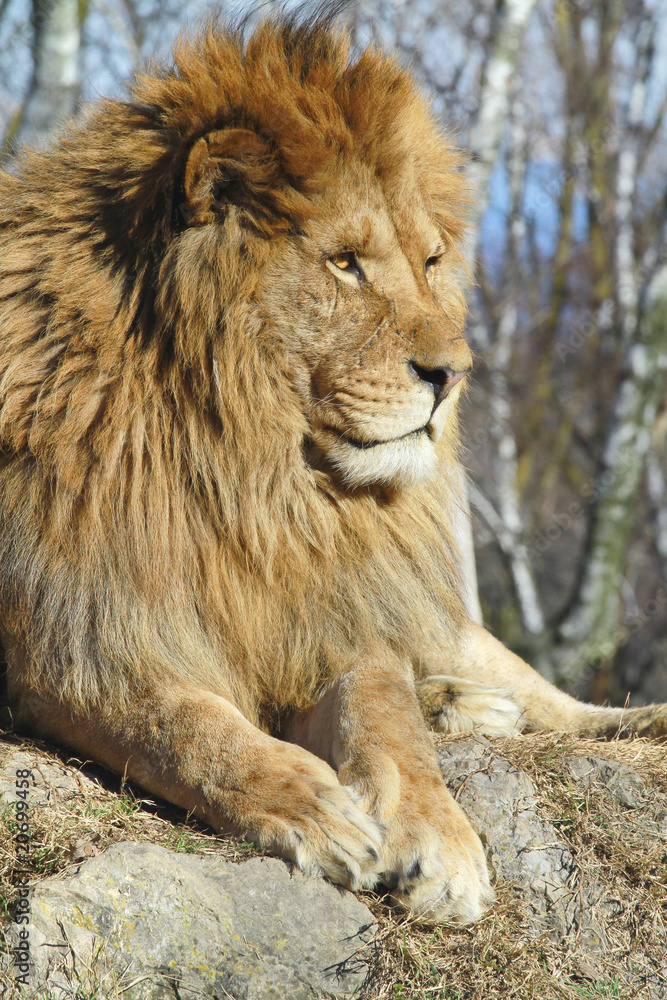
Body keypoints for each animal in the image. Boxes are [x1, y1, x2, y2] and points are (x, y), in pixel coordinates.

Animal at [1, 11, 665, 927]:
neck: (252, 478)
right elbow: (181, 724)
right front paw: (311, 807)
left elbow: (383, 712)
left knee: (544, 697)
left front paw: (439, 838)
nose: (454, 375)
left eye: (429, 262)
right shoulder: (78, 635)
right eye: (345, 262)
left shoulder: (331, 601)